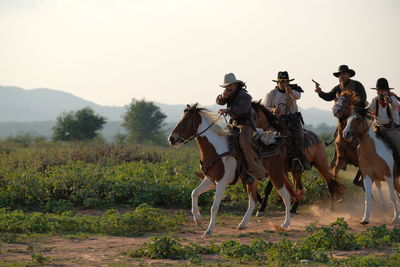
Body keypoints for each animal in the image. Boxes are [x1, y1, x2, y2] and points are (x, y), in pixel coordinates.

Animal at [168, 104, 300, 237]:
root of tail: (280, 143)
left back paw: (285, 224)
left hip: (276, 175)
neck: (216, 149)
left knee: (286, 197)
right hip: (252, 180)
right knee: (252, 201)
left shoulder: (221, 182)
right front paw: (198, 219)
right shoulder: (211, 180)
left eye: (186, 120)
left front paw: (209, 230)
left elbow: (214, 207)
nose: (171, 139)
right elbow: (194, 193)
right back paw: (242, 224)